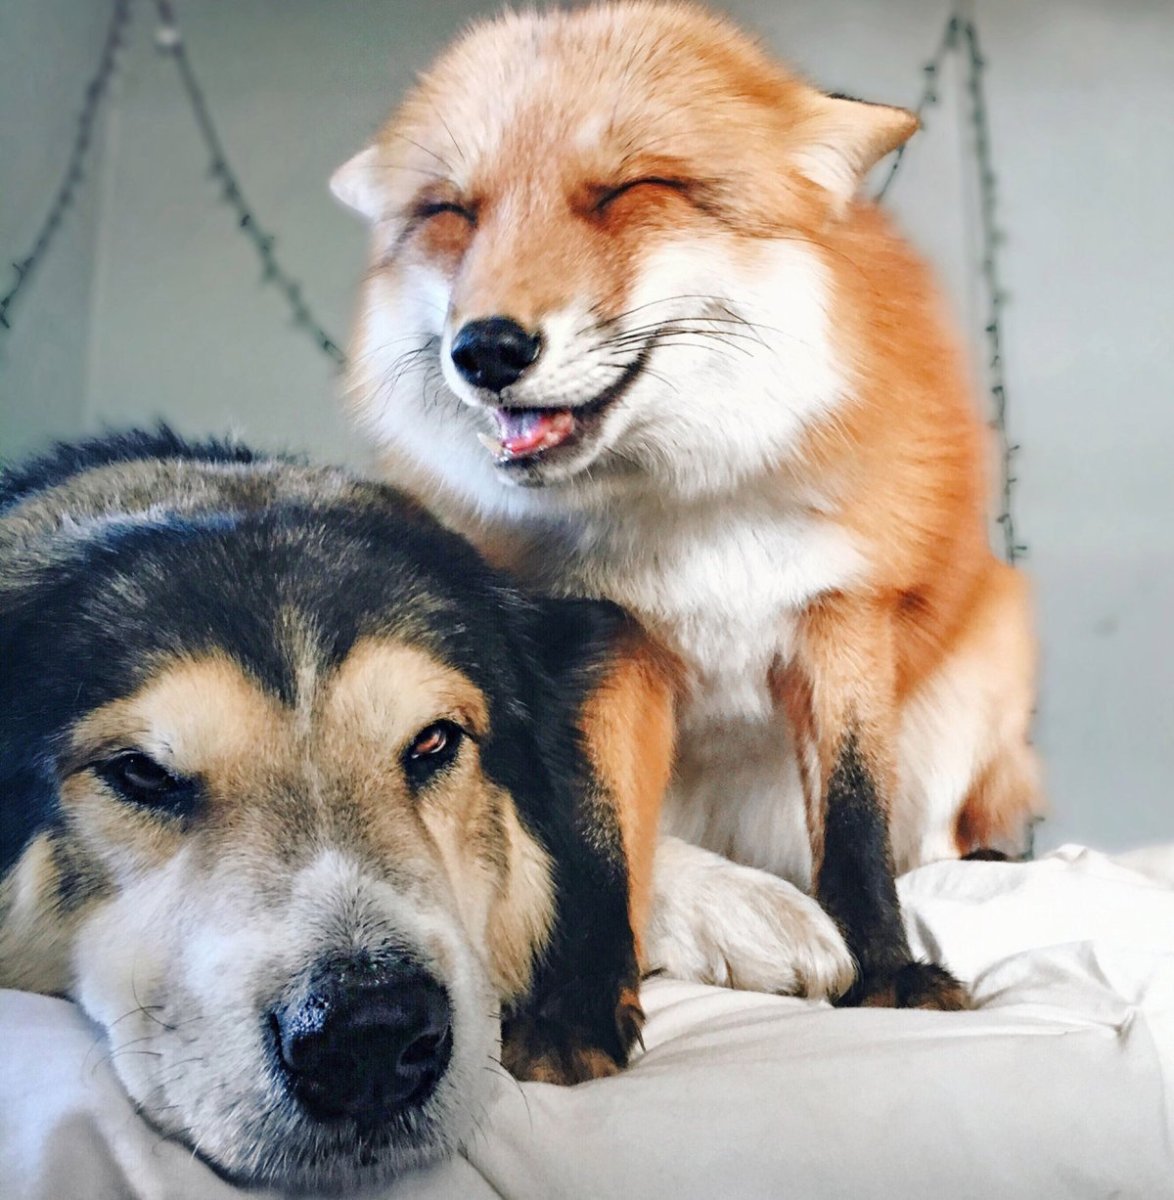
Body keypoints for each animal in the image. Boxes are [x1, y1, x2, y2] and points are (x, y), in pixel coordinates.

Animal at [331, 0, 1043, 1008]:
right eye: (450, 213)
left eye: (629, 192)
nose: (486, 350)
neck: (692, 518)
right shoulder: (601, 642)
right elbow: (594, 852)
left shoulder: (842, 613)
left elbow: (856, 824)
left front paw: (884, 966)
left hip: (988, 666)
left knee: (939, 845)